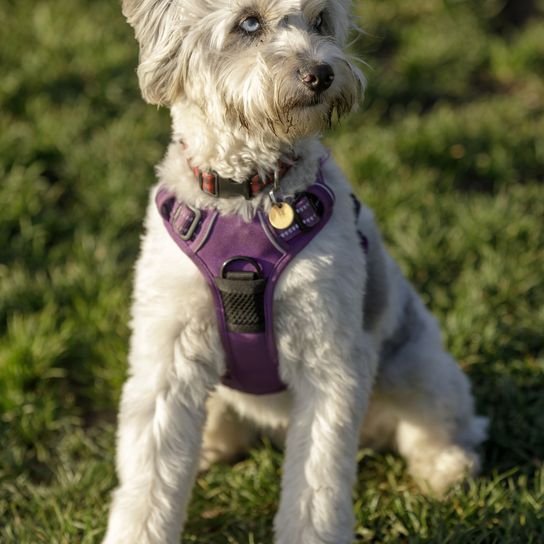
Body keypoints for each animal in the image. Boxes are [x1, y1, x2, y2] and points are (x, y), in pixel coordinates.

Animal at [103, 2, 488, 540]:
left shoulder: (329, 359)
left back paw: (447, 468)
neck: (248, 194)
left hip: (418, 366)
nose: (321, 74)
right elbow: (149, 472)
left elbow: (316, 484)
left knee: (450, 423)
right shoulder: (168, 355)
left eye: (321, 19)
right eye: (248, 23)